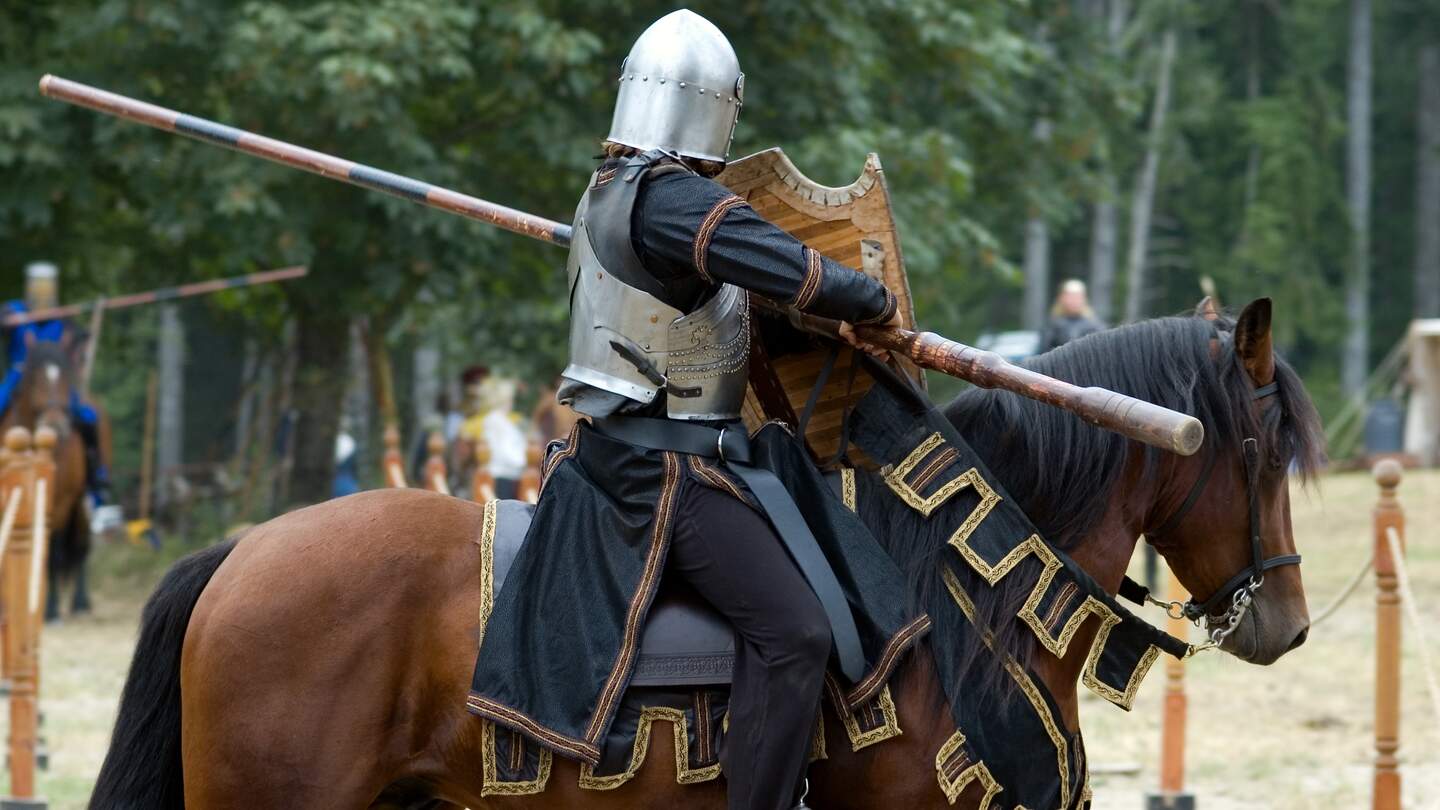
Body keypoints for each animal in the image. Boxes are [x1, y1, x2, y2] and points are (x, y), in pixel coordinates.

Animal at [0, 334, 100, 616]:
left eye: (65, 377)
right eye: (33, 378)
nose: (55, 425)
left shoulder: (62, 500)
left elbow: (53, 551)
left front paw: (51, 608)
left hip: (82, 502)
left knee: (81, 542)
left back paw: (80, 601)